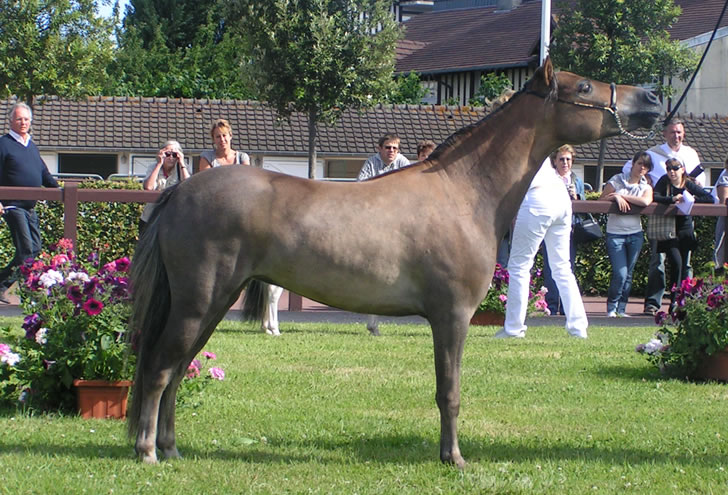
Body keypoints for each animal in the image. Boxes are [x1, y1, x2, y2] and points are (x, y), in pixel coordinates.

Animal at [128, 59, 664, 468]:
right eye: (584, 87)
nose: (653, 97)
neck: (464, 190)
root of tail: (180, 191)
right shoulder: (452, 317)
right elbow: (449, 391)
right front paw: (454, 459)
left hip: (214, 303)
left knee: (178, 369)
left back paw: (171, 450)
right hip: (199, 302)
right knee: (159, 368)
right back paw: (149, 451)